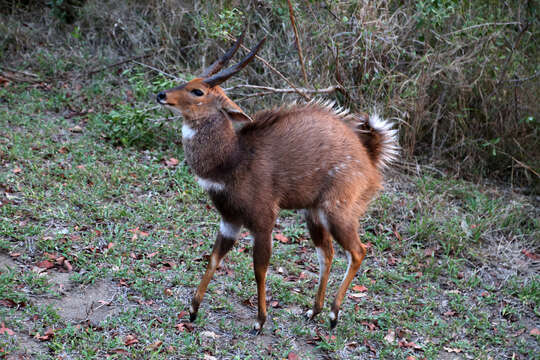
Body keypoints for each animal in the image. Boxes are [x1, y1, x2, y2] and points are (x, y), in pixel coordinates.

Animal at [156, 35, 396, 334]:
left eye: (197, 91)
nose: (161, 95)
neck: (232, 160)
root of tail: (371, 157)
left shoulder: (263, 220)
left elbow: (260, 268)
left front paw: (260, 321)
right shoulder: (229, 220)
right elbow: (213, 258)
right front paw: (192, 310)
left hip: (338, 210)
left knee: (358, 251)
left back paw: (333, 314)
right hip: (313, 213)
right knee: (326, 253)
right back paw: (313, 311)